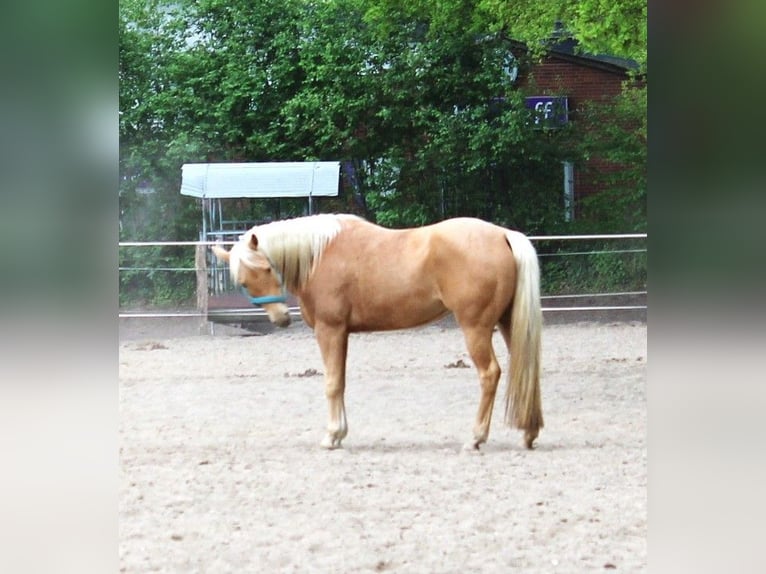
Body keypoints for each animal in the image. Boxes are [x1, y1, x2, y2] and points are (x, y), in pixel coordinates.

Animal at [212, 213, 543, 451]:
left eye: (267, 268)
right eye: (244, 281)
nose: (281, 319)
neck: (320, 254)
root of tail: (502, 234)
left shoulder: (329, 330)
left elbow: (332, 383)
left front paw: (332, 436)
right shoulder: (342, 334)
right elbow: (341, 382)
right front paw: (340, 433)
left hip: (476, 328)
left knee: (490, 374)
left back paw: (475, 437)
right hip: (506, 323)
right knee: (525, 369)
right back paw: (529, 432)